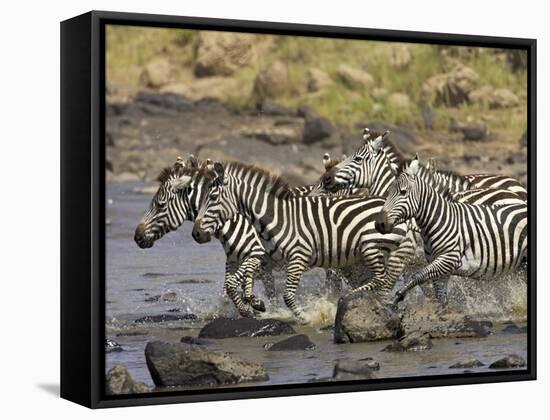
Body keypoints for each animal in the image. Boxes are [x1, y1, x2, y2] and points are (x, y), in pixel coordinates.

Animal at [192, 161, 416, 322]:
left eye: (212, 197)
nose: (196, 234)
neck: (276, 219)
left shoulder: (297, 258)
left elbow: (287, 296)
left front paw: (306, 317)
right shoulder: (260, 257)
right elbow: (236, 284)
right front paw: (255, 305)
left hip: (371, 248)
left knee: (380, 279)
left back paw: (347, 300)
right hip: (362, 258)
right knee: (378, 281)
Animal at [376, 158, 532, 306]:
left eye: (403, 192)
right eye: (388, 192)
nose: (379, 224)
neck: (440, 220)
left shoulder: (449, 259)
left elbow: (418, 275)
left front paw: (397, 298)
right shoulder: (441, 268)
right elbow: (441, 298)